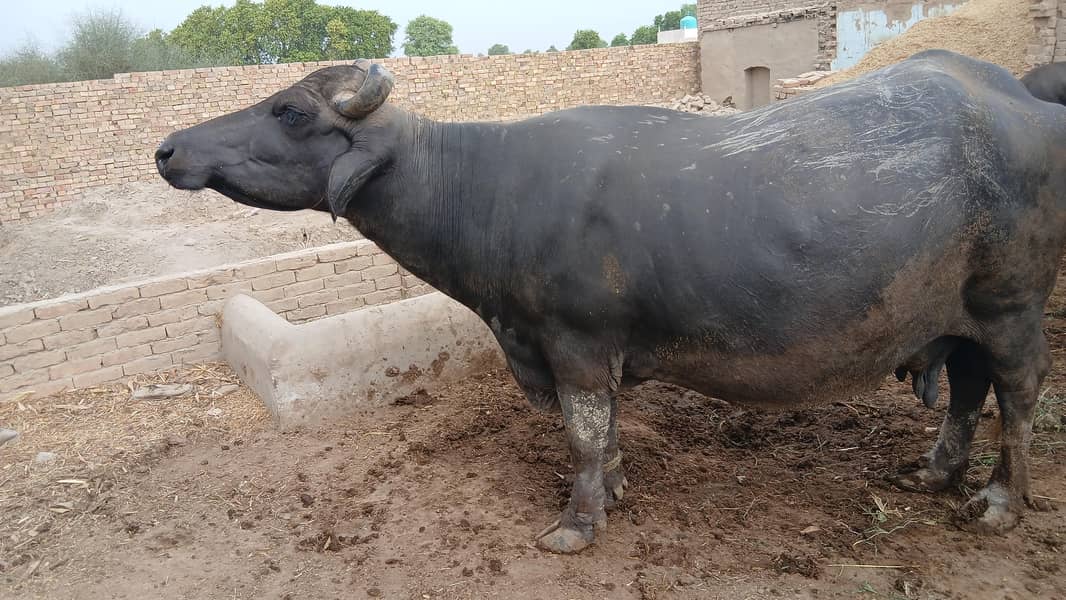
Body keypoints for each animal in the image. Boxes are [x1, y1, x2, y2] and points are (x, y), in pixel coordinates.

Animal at [157, 50, 1066, 553]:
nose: (168, 148)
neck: (490, 191)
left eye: (289, 111)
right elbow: (610, 431)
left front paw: (578, 520)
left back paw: (999, 503)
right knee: (969, 390)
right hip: (957, 318)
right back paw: (935, 472)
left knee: (1019, 396)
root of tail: (1023, 102)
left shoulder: (578, 341)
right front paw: (620, 490)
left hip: (1011, 305)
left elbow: (583, 432)